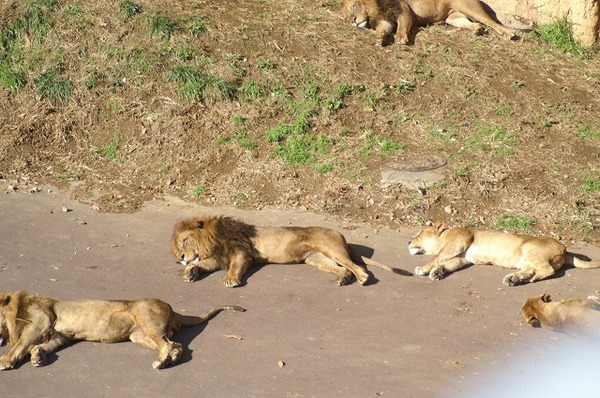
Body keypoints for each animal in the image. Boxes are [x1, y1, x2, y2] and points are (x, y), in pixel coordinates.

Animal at [0, 290, 246, 370]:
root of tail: (174, 309)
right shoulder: (60, 336)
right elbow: (44, 346)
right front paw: (38, 357)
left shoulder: (39, 323)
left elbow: (21, 344)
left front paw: (6, 360)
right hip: (139, 335)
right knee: (175, 345)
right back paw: (169, 360)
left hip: (146, 319)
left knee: (169, 344)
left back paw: (161, 362)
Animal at [171, 216, 410, 288]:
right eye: (175, 252)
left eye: (184, 241)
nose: (181, 258)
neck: (212, 240)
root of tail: (341, 234)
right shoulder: (218, 258)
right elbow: (202, 264)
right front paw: (190, 272)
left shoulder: (242, 251)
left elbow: (235, 267)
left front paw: (230, 279)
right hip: (315, 260)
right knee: (344, 269)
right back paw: (343, 279)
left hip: (330, 248)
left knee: (357, 266)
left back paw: (363, 278)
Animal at [340, 0, 516, 45]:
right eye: (346, 17)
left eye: (354, 6)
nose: (353, 21)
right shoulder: (386, 20)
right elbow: (383, 29)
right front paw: (378, 38)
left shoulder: (403, 9)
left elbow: (403, 26)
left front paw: (401, 38)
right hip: (453, 18)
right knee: (476, 24)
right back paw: (477, 30)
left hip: (470, 8)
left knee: (492, 22)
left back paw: (509, 33)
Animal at [408, 221, 600, 286]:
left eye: (419, 233)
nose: (408, 242)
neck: (446, 234)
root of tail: (565, 250)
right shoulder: (463, 258)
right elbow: (448, 264)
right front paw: (437, 272)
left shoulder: (458, 242)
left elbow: (437, 256)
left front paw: (423, 269)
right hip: (526, 260)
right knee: (533, 270)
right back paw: (514, 279)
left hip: (530, 247)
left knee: (548, 270)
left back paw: (525, 279)